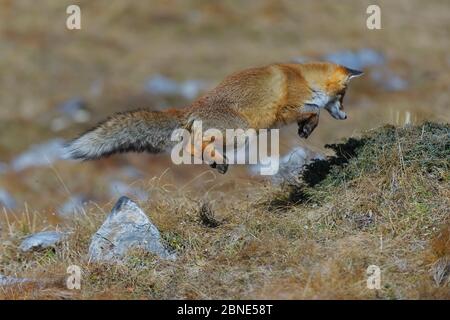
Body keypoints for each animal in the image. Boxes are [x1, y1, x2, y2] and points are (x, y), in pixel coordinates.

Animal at [66, 61, 362, 174]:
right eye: (343, 97)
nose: (346, 116)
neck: (304, 78)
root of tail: (191, 107)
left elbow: (313, 113)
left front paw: (305, 129)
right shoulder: (287, 109)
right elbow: (315, 111)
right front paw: (308, 126)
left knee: (197, 146)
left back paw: (216, 162)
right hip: (241, 133)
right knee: (191, 147)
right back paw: (216, 161)